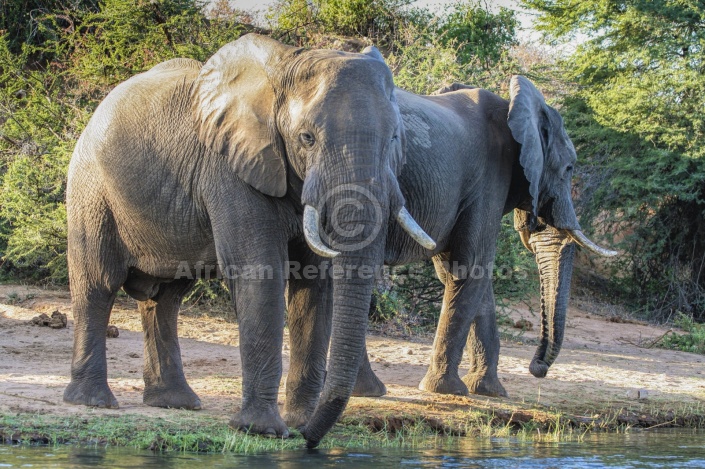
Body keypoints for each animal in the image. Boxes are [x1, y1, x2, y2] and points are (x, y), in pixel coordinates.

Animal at [63, 33, 434, 446]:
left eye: (395, 138)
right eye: (306, 138)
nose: (308, 439)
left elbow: (314, 285)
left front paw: (298, 421)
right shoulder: (230, 168)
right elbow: (261, 275)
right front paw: (264, 429)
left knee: (166, 298)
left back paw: (175, 402)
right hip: (91, 190)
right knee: (98, 283)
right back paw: (93, 401)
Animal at [348, 77, 616, 398]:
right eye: (569, 168)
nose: (537, 368)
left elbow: (467, 276)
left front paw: (489, 391)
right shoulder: (490, 177)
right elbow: (471, 266)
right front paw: (447, 390)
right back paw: (368, 390)